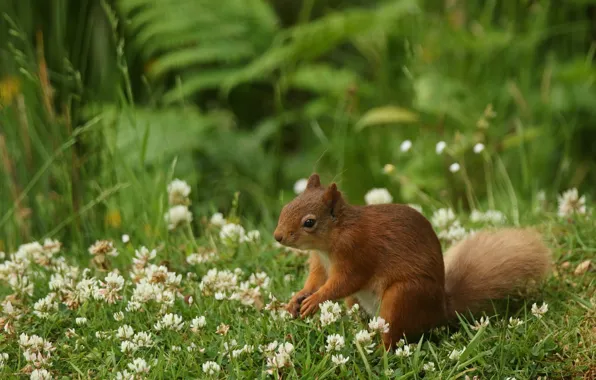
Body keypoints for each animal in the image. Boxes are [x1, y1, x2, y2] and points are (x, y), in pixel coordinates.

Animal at [272, 174, 552, 348]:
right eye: (286, 207)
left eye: (309, 222)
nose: (277, 236)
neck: (328, 244)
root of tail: (440, 311)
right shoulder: (320, 263)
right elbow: (316, 280)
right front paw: (299, 297)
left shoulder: (357, 253)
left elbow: (345, 282)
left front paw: (316, 300)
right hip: (365, 303)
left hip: (404, 295)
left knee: (393, 336)